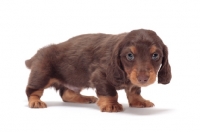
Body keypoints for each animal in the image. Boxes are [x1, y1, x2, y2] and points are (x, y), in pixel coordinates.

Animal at [25, 28, 172, 111]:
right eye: (130, 55)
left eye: (155, 55)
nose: (143, 79)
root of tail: (37, 54)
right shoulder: (100, 76)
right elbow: (110, 92)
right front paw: (111, 105)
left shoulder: (132, 79)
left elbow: (134, 90)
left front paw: (139, 101)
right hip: (41, 75)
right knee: (32, 91)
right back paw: (35, 101)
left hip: (75, 79)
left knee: (67, 94)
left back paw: (85, 98)